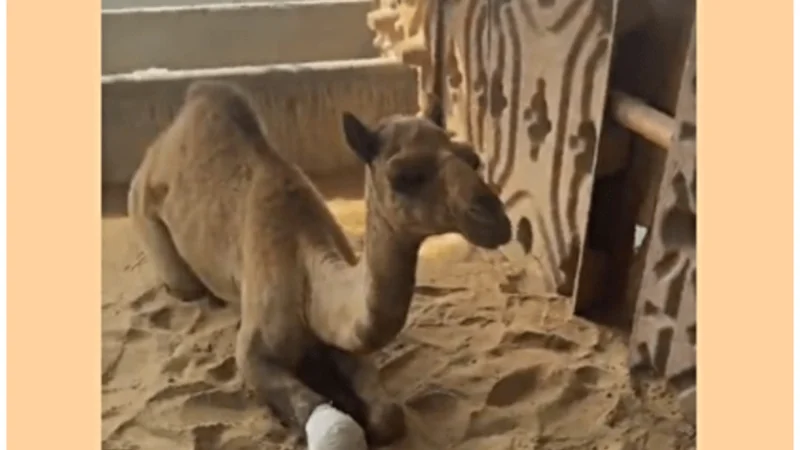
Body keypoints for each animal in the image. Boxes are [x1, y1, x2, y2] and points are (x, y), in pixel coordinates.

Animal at [127, 80, 512, 447]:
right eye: (403, 176)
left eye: (472, 158)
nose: (494, 218)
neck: (306, 275)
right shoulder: (253, 355)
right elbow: (329, 418)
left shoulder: (347, 339)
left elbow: (388, 416)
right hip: (147, 216)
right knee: (185, 284)